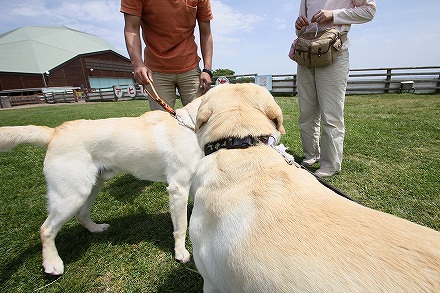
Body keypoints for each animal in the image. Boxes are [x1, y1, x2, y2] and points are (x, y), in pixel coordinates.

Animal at [0, 97, 203, 274]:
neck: (190, 124)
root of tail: (55, 131)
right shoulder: (178, 189)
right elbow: (181, 226)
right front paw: (180, 252)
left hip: (91, 186)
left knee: (81, 215)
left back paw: (95, 229)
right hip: (72, 195)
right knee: (46, 229)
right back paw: (52, 263)